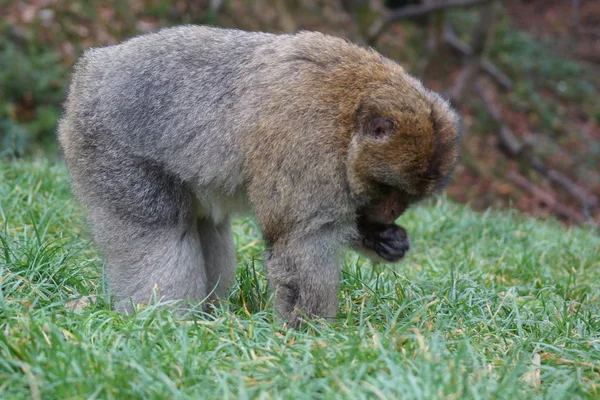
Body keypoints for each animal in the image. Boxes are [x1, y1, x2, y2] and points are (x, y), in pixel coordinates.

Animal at [58, 25, 462, 326]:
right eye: (389, 189)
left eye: (407, 198)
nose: (391, 213)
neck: (347, 121)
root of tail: (92, 67)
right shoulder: (307, 145)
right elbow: (300, 239)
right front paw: (309, 335)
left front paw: (384, 239)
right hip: (108, 150)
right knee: (158, 231)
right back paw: (165, 321)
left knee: (208, 229)